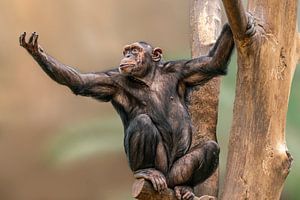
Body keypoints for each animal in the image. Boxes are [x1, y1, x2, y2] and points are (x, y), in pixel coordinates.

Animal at [19, 23, 234, 200]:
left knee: (210, 148)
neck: (148, 78)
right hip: (157, 168)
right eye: (127, 50)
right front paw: (36, 51)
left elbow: (212, 62)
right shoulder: (112, 80)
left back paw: (185, 187)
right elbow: (81, 81)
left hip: (174, 173)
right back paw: (144, 171)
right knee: (142, 122)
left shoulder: (183, 70)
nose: (128, 56)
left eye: (135, 50)